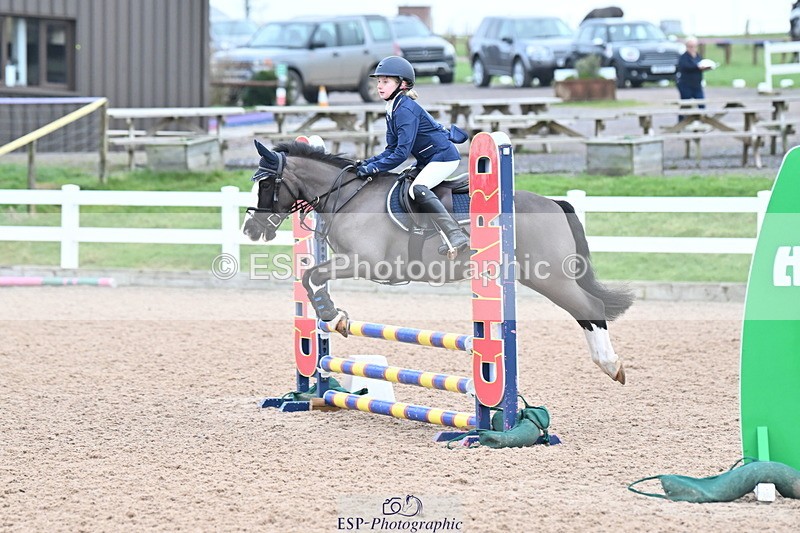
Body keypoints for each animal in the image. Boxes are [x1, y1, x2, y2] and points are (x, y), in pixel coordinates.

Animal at [242, 140, 634, 384]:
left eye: (266, 185)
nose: (250, 229)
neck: (348, 196)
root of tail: (553, 202)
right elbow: (313, 276)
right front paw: (334, 316)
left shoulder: (366, 263)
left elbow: (312, 275)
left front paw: (331, 314)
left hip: (550, 276)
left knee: (590, 307)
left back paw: (610, 365)